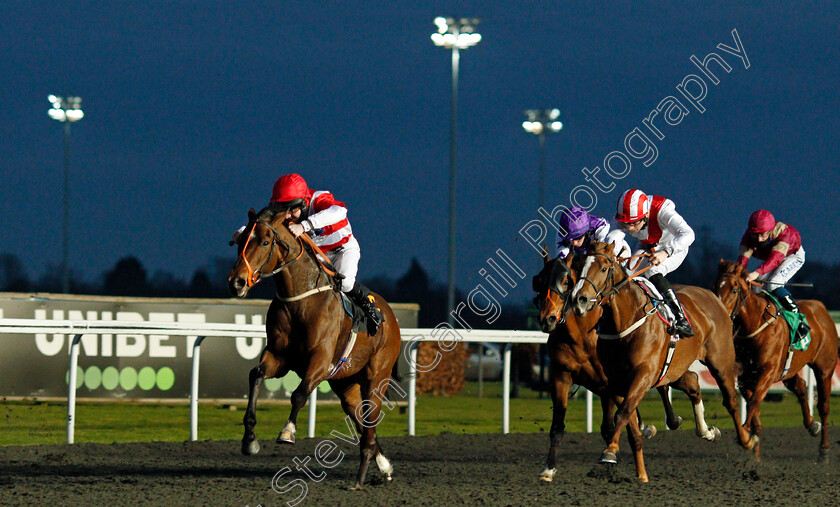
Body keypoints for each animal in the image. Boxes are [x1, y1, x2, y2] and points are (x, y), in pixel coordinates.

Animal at [228, 204, 402, 490]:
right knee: (361, 418)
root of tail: (390, 314)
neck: (300, 300)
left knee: (370, 417)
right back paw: (384, 466)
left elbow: (299, 394)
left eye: (264, 242)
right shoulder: (278, 357)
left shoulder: (320, 361)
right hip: (345, 383)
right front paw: (249, 439)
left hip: (377, 376)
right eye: (241, 240)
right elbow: (256, 375)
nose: (236, 282)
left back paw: (359, 478)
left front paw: (287, 432)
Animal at [572, 244, 756, 482]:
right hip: (675, 368)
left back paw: (746, 439)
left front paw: (610, 451)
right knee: (693, 383)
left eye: (604, 268)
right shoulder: (614, 380)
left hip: (720, 361)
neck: (627, 319)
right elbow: (621, 417)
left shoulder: (644, 373)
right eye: (579, 265)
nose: (579, 300)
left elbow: (623, 412)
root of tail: (714, 297)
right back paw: (706, 430)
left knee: (731, 400)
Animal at [712, 260, 836, 458]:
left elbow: (755, 399)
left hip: (825, 368)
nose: (719, 314)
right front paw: (753, 437)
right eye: (715, 287)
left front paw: (746, 433)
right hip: (790, 369)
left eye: (734, 290)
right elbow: (751, 400)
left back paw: (824, 448)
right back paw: (812, 425)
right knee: (801, 387)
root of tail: (821, 308)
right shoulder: (745, 375)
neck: (756, 324)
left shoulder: (769, 370)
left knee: (824, 406)